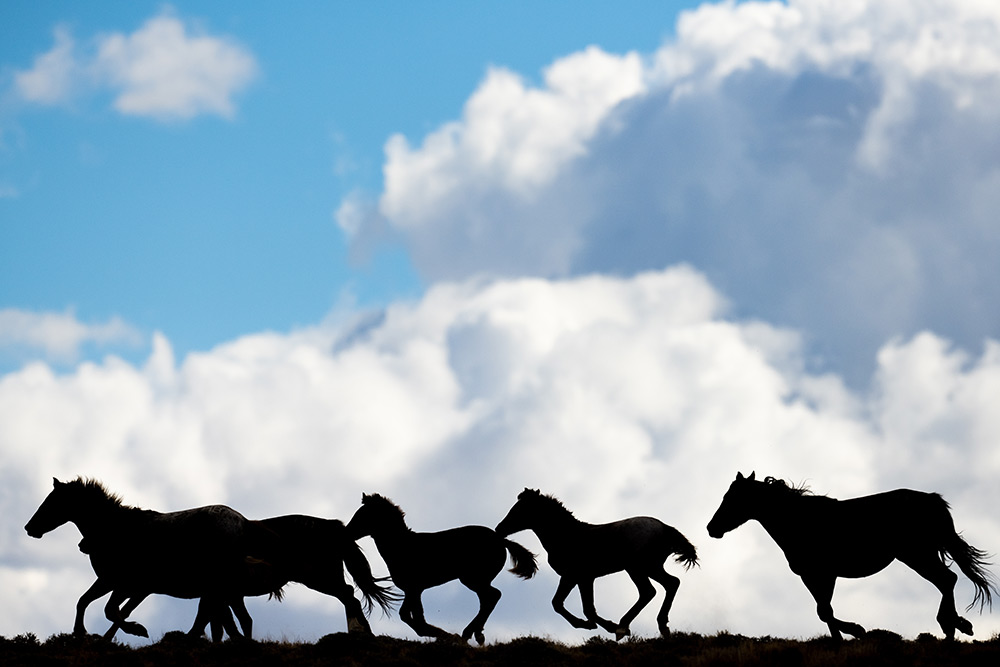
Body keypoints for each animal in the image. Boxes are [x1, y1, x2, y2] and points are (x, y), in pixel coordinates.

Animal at [344, 494, 536, 644]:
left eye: (362, 515)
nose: (346, 532)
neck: (402, 547)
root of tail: (501, 540)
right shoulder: (413, 590)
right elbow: (411, 617)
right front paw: (444, 635)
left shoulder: (414, 588)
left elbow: (414, 619)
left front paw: (447, 635)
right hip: (477, 580)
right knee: (487, 600)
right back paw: (476, 633)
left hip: (473, 579)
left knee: (493, 596)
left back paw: (467, 634)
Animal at [496, 488, 700, 640]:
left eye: (520, 509)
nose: (499, 528)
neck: (566, 536)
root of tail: (666, 528)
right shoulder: (581, 578)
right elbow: (576, 606)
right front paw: (597, 625)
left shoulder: (575, 576)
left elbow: (569, 606)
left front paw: (603, 626)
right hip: (650, 567)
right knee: (670, 584)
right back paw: (661, 625)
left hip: (638, 568)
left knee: (650, 591)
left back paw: (623, 626)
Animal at [708, 472, 996, 640]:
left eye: (733, 498)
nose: (712, 529)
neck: (800, 521)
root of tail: (932, 499)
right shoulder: (812, 577)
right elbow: (824, 611)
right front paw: (842, 640)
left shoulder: (823, 574)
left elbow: (825, 611)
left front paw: (856, 631)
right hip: (920, 555)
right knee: (947, 581)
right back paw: (957, 626)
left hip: (916, 555)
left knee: (947, 580)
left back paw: (950, 628)